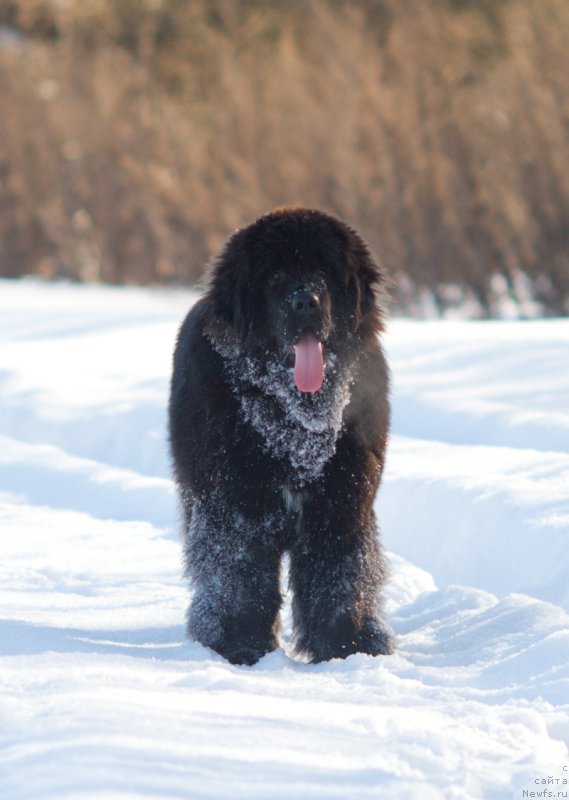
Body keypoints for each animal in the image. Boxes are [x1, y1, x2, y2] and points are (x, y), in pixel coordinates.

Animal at [166, 206, 392, 664]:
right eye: (275, 277)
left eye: (323, 272)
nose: (305, 301)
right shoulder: (235, 508)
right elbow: (241, 578)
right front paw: (241, 646)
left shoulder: (342, 503)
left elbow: (340, 578)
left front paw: (347, 648)